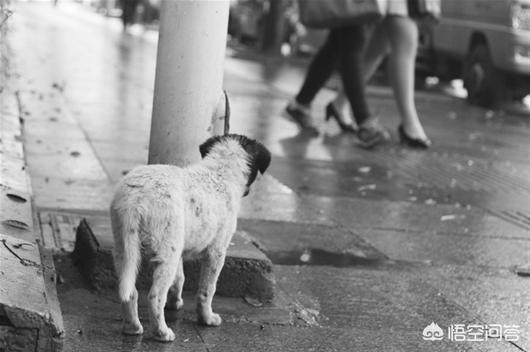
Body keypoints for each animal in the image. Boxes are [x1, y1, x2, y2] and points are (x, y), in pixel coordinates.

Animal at [110, 134, 270, 340]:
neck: (220, 172)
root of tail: (135, 200)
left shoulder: (179, 245)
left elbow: (180, 279)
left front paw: (175, 303)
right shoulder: (217, 251)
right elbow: (207, 289)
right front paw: (207, 318)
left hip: (124, 248)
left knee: (130, 291)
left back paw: (133, 327)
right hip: (166, 254)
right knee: (154, 296)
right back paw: (162, 333)